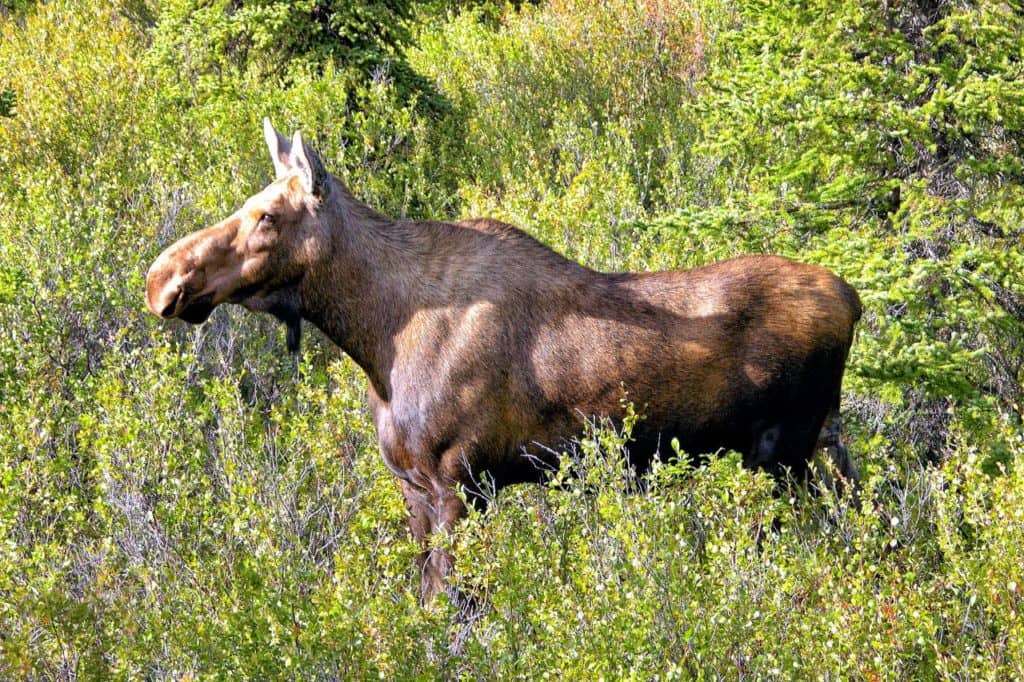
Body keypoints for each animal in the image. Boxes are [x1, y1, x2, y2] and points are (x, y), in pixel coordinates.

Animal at [146, 119, 864, 598]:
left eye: (267, 216)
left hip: (783, 454)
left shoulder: (459, 480)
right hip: (808, 450)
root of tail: (854, 300)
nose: (162, 279)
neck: (375, 336)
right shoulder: (413, 486)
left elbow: (451, 604)